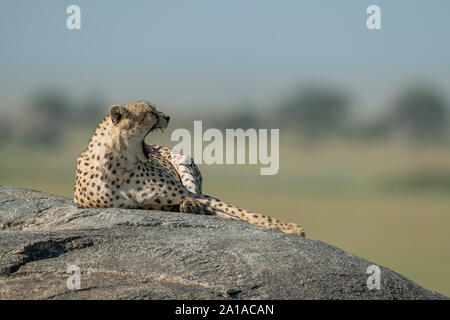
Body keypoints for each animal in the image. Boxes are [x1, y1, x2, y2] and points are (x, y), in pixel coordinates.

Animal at [74, 101, 306, 236]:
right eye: (150, 112)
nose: (168, 117)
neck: (121, 163)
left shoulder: (184, 192)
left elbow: (244, 212)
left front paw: (289, 227)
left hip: (183, 162)